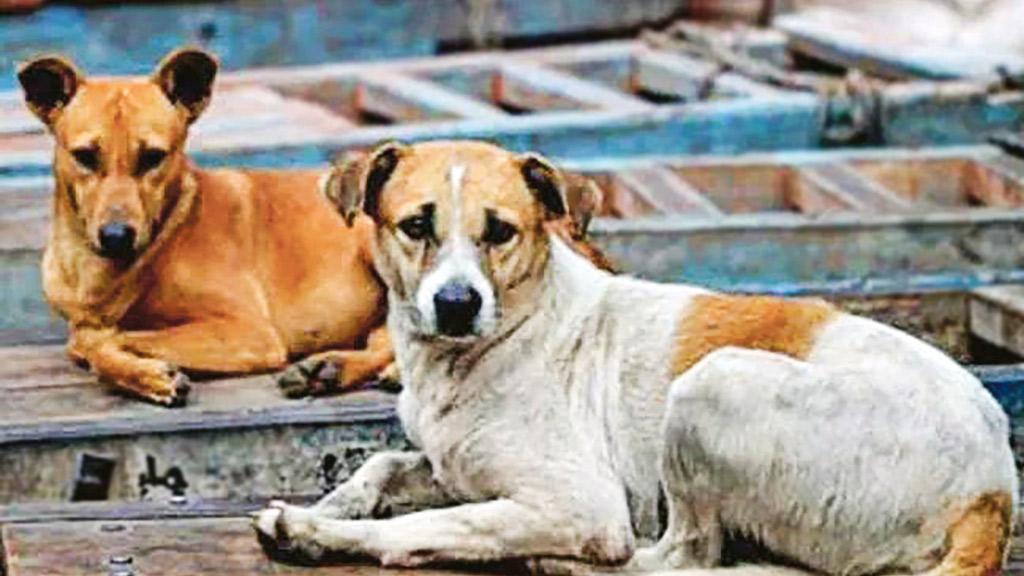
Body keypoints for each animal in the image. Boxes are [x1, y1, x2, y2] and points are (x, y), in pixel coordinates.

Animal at [20, 49, 395, 405]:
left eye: (153, 157)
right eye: (84, 156)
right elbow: (88, 341)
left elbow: (108, 342)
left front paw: (149, 376)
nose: (116, 237)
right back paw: (333, 369)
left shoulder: (249, 331)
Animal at [256, 140, 1015, 573]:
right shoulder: (454, 466)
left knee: (686, 556)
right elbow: (383, 465)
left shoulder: (579, 505)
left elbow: (420, 527)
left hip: (711, 384)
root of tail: (993, 489)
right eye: (417, 225)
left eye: (500, 232)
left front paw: (317, 531)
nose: (456, 304)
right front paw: (336, 503)